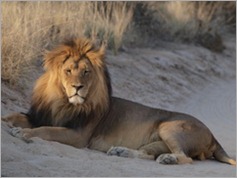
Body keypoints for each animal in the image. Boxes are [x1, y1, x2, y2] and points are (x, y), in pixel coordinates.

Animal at [1, 37, 235, 165]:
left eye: (86, 72)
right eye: (68, 71)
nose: (77, 87)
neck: (62, 102)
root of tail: (212, 135)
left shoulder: (79, 135)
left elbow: (48, 131)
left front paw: (23, 133)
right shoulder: (40, 115)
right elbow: (15, 116)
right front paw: (8, 122)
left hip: (169, 127)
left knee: (185, 157)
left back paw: (168, 159)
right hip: (159, 139)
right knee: (148, 154)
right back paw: (120, 151)